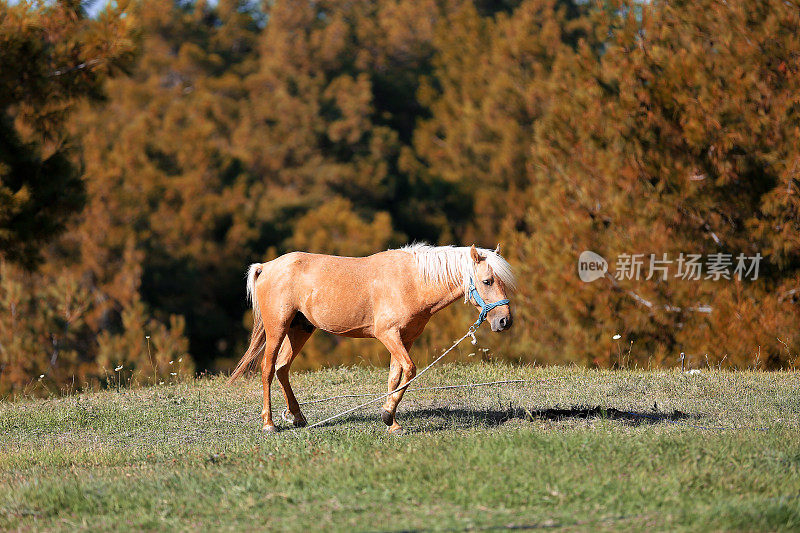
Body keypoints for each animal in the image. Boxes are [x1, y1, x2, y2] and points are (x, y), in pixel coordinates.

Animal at [228, 243, 516, 434]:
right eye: (487, 281)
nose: (505, 321)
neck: (411, 282)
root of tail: (266, 267)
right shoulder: (388, 335)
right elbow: (410, 370)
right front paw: (388, 416)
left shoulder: (404, 339)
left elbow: (396, 377)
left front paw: (393, 422)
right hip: (277, 329)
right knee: (267, 369)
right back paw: (269, 424)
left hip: (300, 330)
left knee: (282, 368)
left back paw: (298, 417)